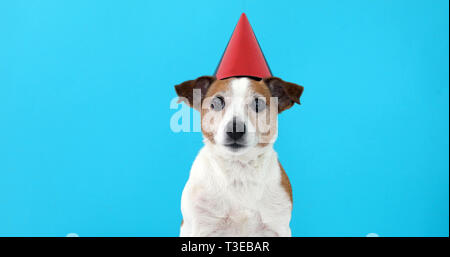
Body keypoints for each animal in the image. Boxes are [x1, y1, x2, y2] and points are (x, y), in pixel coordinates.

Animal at [174, 75, 304, 235]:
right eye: (217, 102)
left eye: (258, 104)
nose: (235, 130)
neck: (239, 170)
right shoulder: (203, 227)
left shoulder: (277, 227)